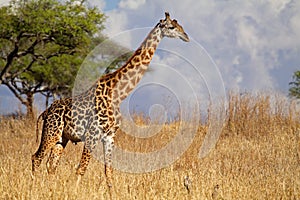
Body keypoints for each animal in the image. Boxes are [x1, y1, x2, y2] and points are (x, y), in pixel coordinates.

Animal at [31, 12, 189, 189]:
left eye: (180, 26)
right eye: (172, 27)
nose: (186, 36)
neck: (118, 94)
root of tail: (46, 112)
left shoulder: (110, 136)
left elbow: (109, 172)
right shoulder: (93, 133)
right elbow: (81, 168)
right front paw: (74, 191)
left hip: (61, 138)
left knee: (51, 164)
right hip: (51, 132)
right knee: (36, 158)